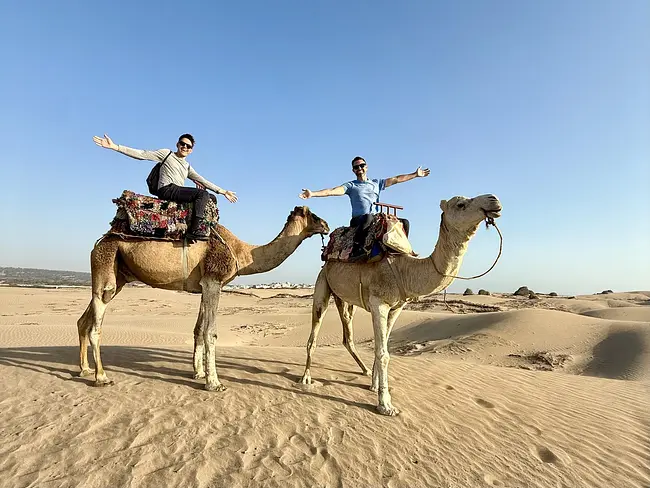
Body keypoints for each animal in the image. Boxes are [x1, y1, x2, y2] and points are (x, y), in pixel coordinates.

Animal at [77, 206, 329, 390]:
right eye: (314, 216)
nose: (326, 225)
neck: (243, 253)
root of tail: (99, 241)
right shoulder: (214, 281)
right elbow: (211, 332)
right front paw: (214, 382)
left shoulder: (203, 286)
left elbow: (198, 330)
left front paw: (198, 373)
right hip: (106, 263)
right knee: (96, 323)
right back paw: (101, 377)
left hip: (118, 274)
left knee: (84, 320)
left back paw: (85, 369)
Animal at [299, 194, 502, 416]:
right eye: (461, 204)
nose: (493, 200)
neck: (405, 270)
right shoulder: (378, 303)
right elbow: (383, 353)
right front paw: (385, 405)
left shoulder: (397, 307)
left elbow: (382, 346)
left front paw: (374, 385)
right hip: (322, 283)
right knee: (314, 332)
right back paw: (306, 378)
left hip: (344, 299)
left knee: (348, 336)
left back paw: (364, 370)